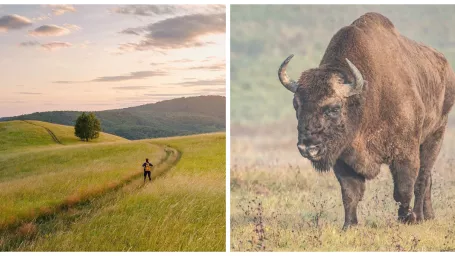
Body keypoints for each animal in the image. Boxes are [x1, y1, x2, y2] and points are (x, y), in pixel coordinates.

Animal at [278, 12, 455, 229]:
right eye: (296, 105)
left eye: (334, 108)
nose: (307, 148)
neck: (366, 98)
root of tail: (445, 67)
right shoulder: (343, 158)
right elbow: (350, 193)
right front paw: (349, 225)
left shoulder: (405, 153)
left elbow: (403, 189)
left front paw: (407, 218)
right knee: (426, 179)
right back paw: (429, 216)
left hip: (435, 135)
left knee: (422, 179)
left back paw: (420, 216)